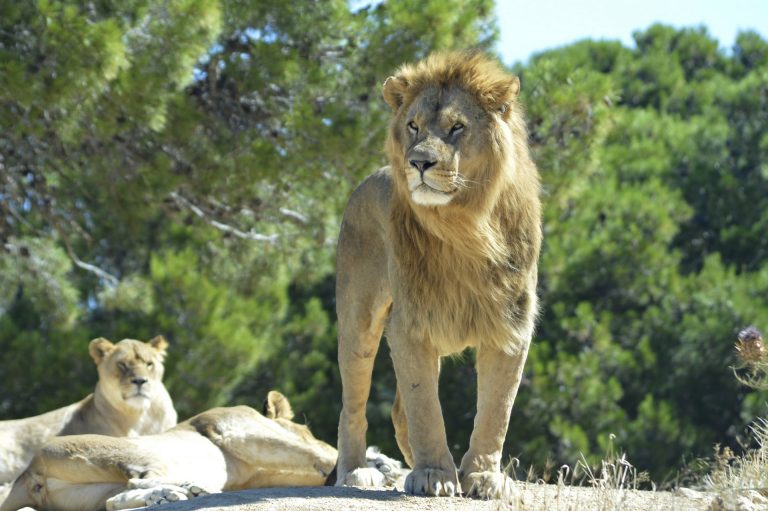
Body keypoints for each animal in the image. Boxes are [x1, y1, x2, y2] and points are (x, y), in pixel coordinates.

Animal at [334, 52, 540, 500]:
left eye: (457, 127)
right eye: (413, 126)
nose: (419, 162)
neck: (465, 227)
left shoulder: (511, 326)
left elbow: (496, 411)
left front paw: (482, 477)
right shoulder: (410, 323)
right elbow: (425, 406)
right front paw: (434, 474)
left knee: (398, 409)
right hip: (359, 324)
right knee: (353, 403)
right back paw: (356, 471)